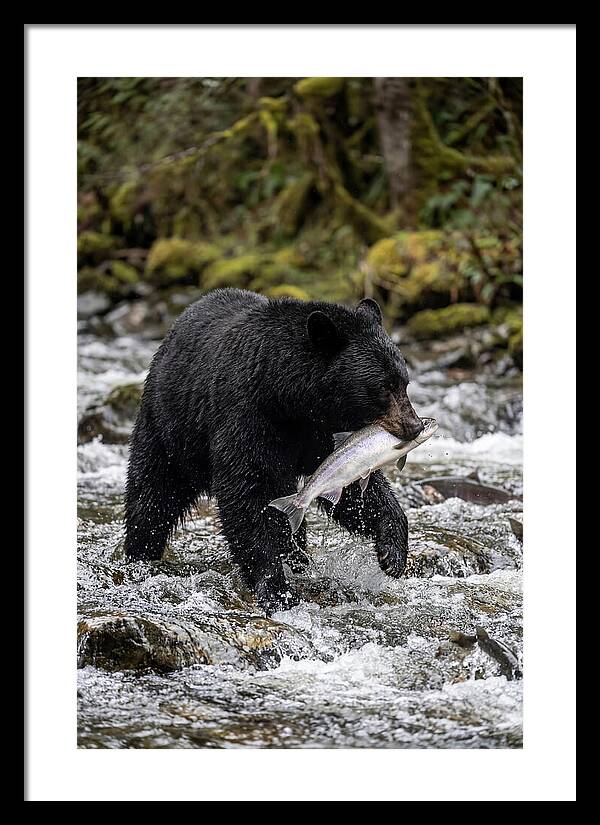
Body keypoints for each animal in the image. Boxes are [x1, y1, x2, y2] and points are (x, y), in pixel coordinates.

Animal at [124, 288, 424, 613]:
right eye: (382, 387)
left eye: (404, 382)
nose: (415, 426)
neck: (289, 398)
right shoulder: (248, 415)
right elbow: (246, 493)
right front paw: (276, 588)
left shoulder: (323, 433)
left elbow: (351, 485)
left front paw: (392, 553)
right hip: (170, 428)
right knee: (152, 494)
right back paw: (140, 554)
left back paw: (298, 558)